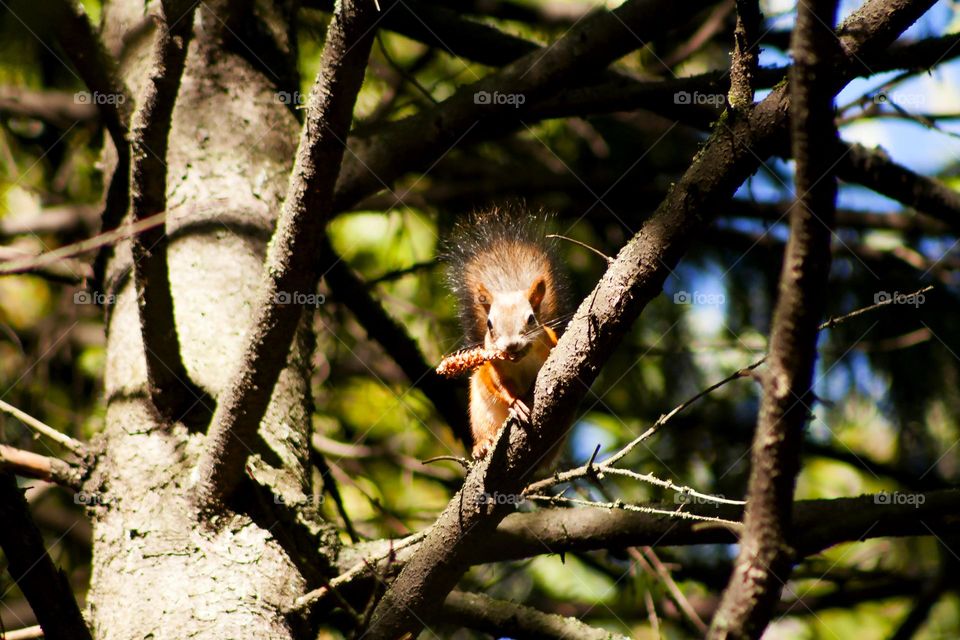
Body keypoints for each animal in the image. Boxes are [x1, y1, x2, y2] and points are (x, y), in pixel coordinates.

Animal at [444, 209, 569, 460]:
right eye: (490, 325)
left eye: (531, 319)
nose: (510, 346)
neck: (521, 360)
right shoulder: (492, 366)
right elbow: (498, 385)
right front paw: (516, 403)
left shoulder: (550, 341)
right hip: (480, 412)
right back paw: (482, 445)